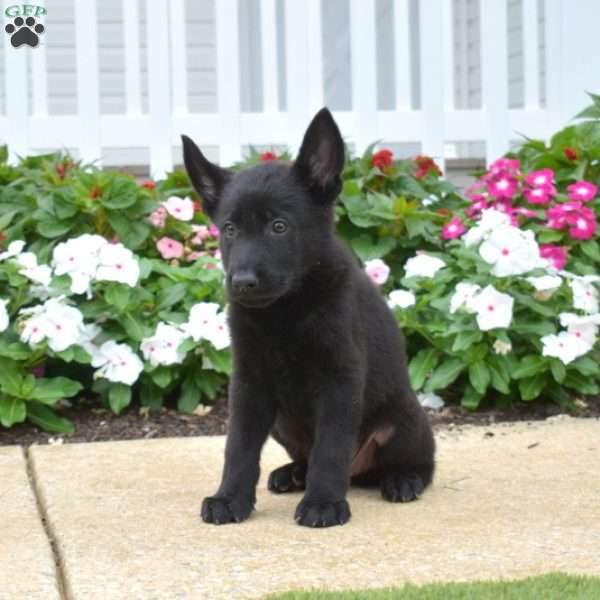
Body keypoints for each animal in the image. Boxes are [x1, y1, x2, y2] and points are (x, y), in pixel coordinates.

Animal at [180, 109, 434, 528]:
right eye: (230, 229)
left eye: (279, 226)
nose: (242, 282)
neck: (284, 310)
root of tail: (359, 473)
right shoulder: (248, 383)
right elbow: (239, 447)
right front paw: (229, 497)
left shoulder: (340, 379)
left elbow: (330, 447)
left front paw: (323, 503)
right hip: (282, 422)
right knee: (304, 455)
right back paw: (292, 473)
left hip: (403, 419)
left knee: (422, 462)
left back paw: (403, 479)